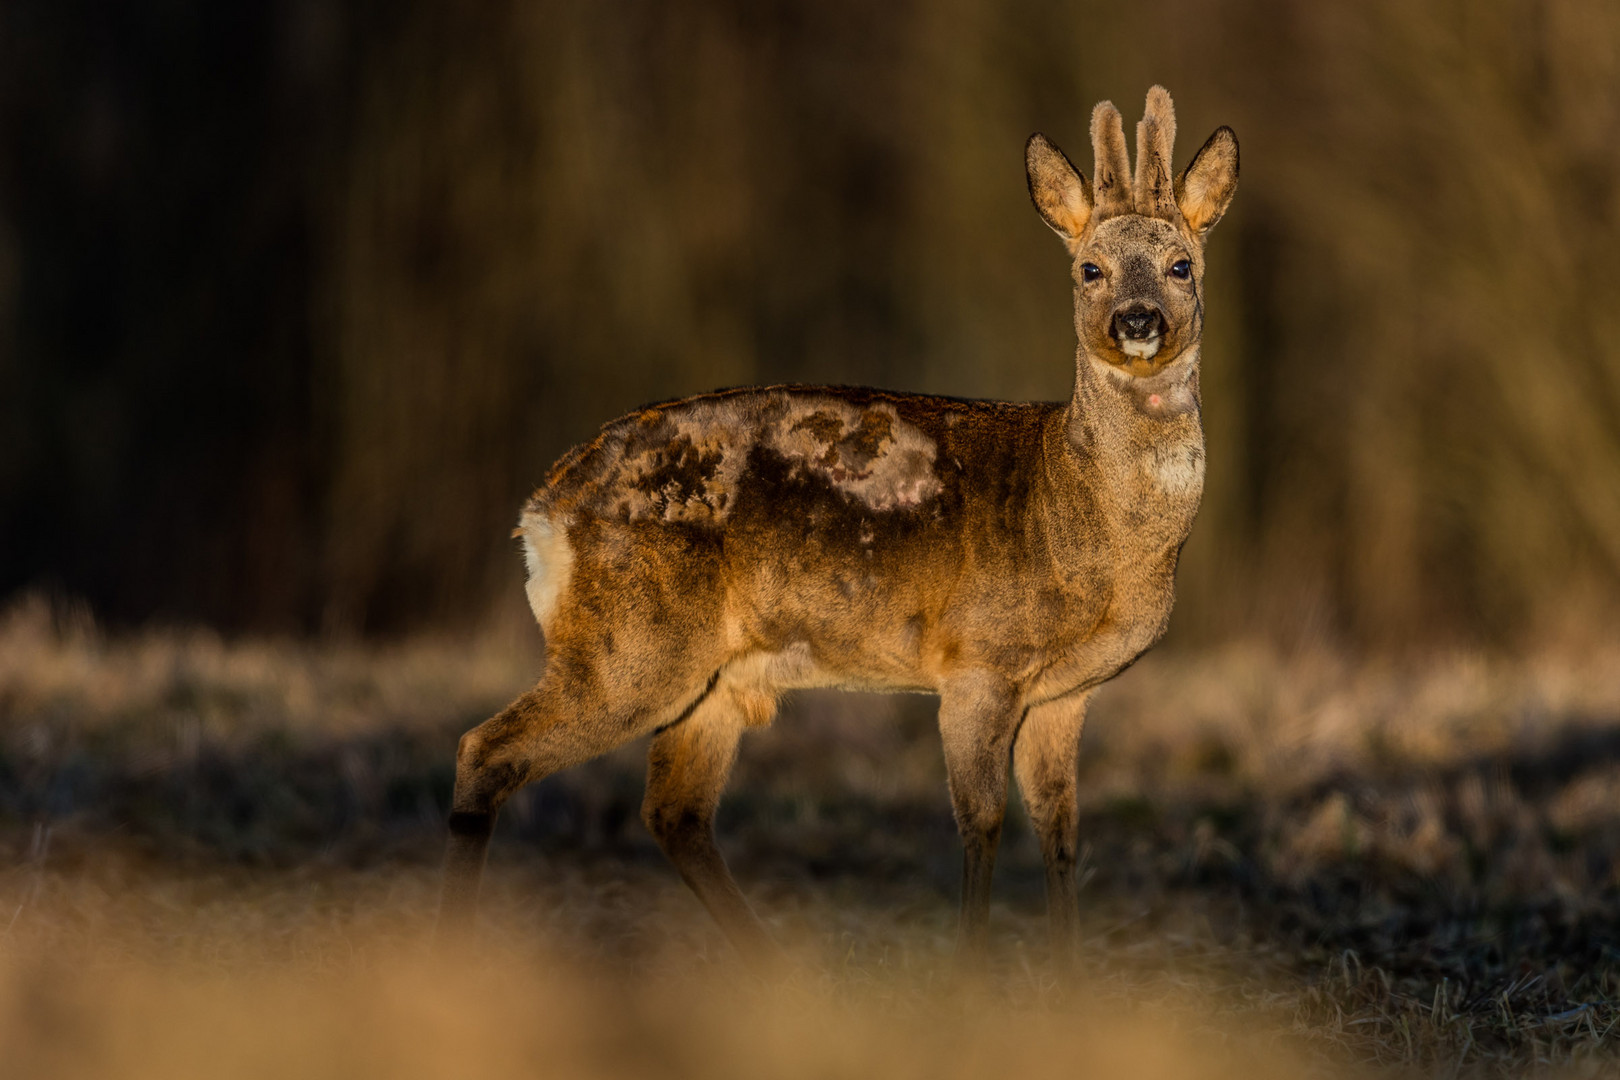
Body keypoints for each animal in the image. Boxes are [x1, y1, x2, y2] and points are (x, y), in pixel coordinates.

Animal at [443, 82, 1237, 965]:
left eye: (1182, 266)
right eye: (1088, 269)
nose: (1137, 321)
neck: (1078, 516)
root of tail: (542, 512)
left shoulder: (1066, 692)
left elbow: (1060, 834)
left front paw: (1068, 979)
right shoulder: (977, 659)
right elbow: (981, 824)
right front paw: (973, 974)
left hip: (716, 676)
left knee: (674, 809)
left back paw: (776, 966)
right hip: (633, 642)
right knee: (486, 750)